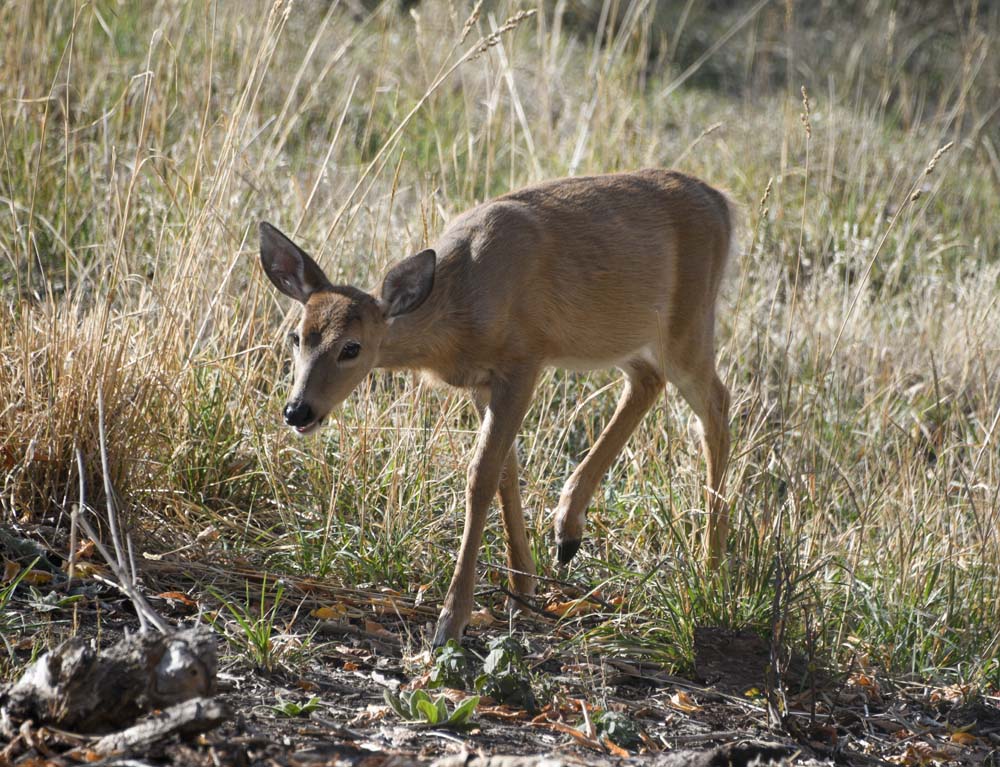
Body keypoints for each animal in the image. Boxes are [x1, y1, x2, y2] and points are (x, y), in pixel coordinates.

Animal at [259, 169, 735, 646]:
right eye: (297, 337)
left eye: (352, 348)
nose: (298, 411)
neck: (461, 310)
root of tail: (721, 202)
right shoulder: (482, 382)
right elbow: (506, 470)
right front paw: (521, 589)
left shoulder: (524, 361)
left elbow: (480, 475)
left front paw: (452, 619)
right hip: (623, 336)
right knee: (647, 381)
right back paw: (568, 531)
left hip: (688, 324)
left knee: (716, 401)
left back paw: (712, 569)